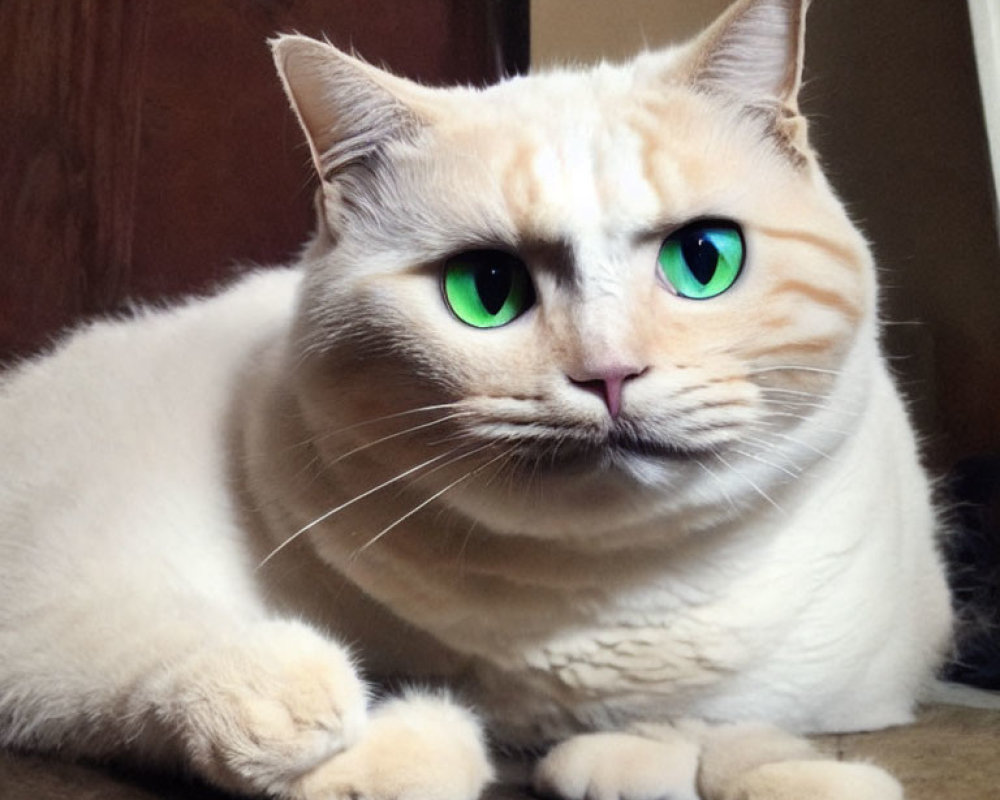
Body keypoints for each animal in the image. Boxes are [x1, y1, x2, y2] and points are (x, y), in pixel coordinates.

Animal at [0, 1, 952, 800]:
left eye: (703, 261)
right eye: (486, 289)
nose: (609, 372)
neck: (603, 600)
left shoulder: (853, 693)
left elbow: (742, 730)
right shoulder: (56, 572)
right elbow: (138, 646)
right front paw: (326, 722)